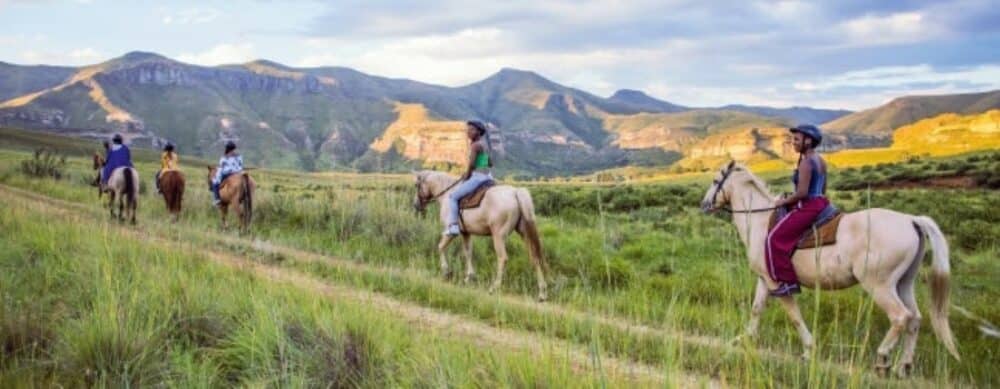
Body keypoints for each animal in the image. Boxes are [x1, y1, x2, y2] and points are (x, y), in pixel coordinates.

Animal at [414, 170, 556, 300]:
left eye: (416, 185)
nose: (416, 205)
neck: (447, 194)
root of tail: (515, 193)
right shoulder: (466, 233)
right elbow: (468, 253)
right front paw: (469, 277)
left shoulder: (451, 232)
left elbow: (440, 247)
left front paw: (446, 271)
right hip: (524, 233)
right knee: (535, 258)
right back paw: (542, 293)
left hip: (498, 236)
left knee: (503, 258)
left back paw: (494, 287)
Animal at [700, 161, 956, 376]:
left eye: (715, 180)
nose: (704, 205)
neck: (760, 221)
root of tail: (911, 220)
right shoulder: (764, 279)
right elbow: (756, 309)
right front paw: (745, 339)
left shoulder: (776, 282)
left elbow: (793, 315)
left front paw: (807, 350)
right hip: (903, 283)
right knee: (915, 318)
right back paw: (904, 366)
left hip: (879, 285)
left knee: (900, 316)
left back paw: (882, 359)